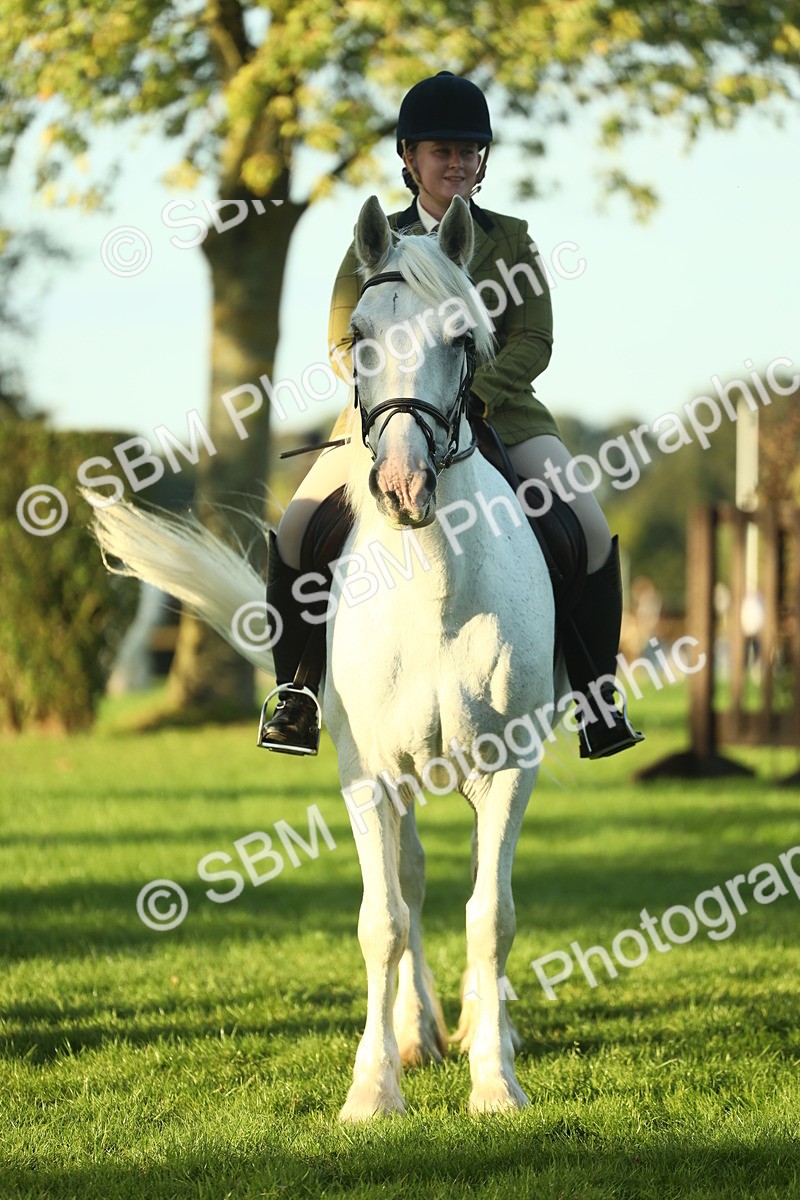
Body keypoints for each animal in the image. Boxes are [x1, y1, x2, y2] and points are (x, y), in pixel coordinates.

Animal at [88, 194, 561, 1121]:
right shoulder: (368, 770)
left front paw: (496, 1082)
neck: (434, 586)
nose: (404, 489)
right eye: (361, 335)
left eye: (463, 335)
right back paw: (417, 1035)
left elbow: (492, 916)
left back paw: (478, 1028)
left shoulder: (509, 767)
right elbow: (384, 922)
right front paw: (374, 1089)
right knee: (409, 887)